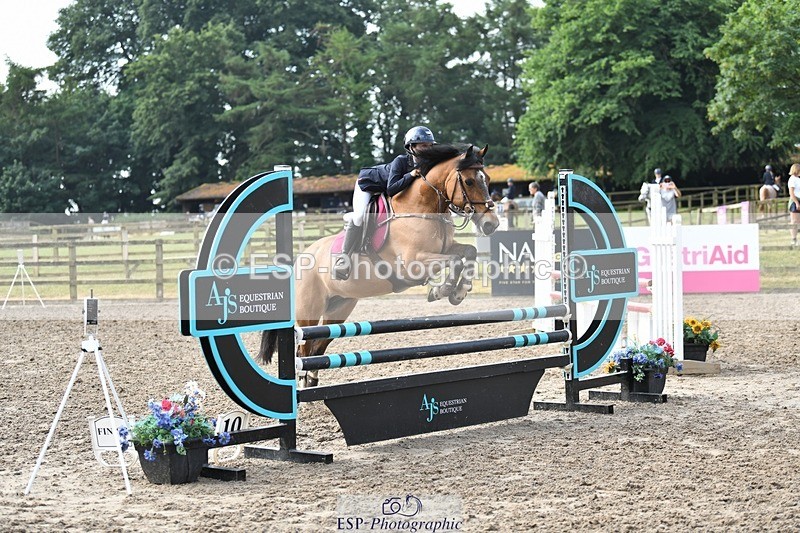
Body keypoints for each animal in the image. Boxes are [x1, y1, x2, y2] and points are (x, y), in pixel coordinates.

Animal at [259, 143, 501, 386]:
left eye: (488, 178)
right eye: (469, 181)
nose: (491, 224)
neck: (424, 208)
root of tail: (298, 261)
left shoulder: (445, 248)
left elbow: (468, 252)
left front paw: (459, 292)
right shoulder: (412, 264)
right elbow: (455, 261)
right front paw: (441, 290)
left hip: (339, 308)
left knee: (317, 348)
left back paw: (311, 381)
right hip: (308, 313)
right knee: (303, 350)